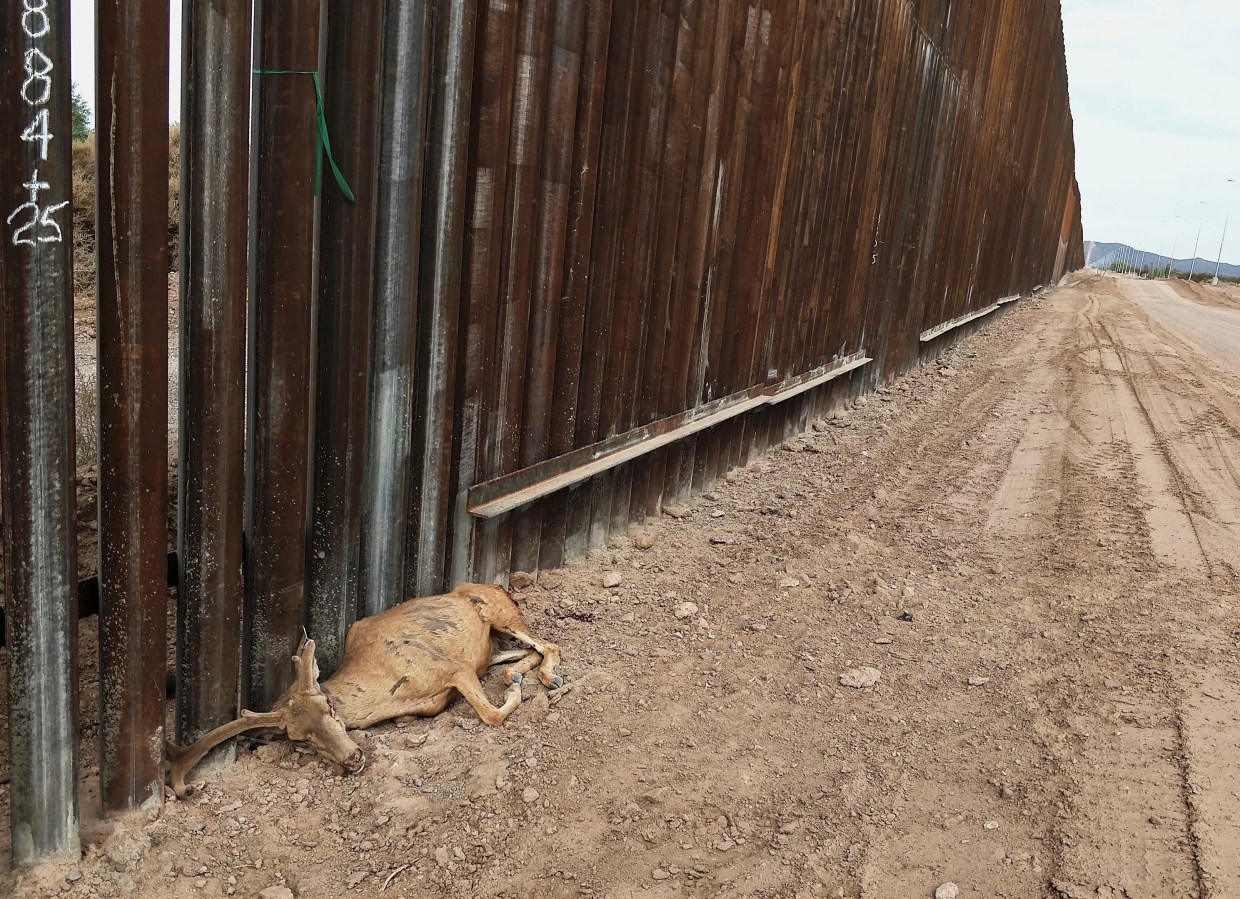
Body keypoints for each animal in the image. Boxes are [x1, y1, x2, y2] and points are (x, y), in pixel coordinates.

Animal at [167, 582, 564, 798]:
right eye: (299, 739)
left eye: (329, 708)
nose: (352, 758)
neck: (387, 691)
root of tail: (497, 587)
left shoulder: (453, 668)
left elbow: (490, 714)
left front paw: (515, 694)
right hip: (497, 639)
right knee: (525, 652)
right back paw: (519, 674)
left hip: (501, 614)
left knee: (549, 644)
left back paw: (546, 679)